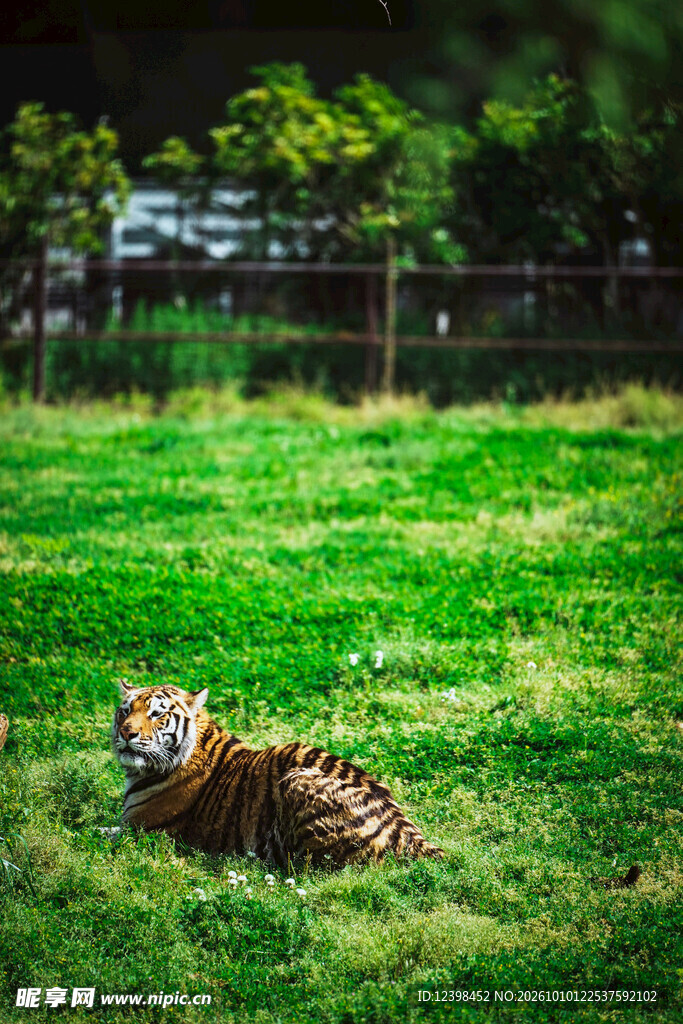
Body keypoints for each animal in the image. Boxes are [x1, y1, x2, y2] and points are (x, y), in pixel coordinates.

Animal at [111, 682, 443, 868]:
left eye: (156, 714)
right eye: (124, 711)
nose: (126, 733)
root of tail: (408, 833)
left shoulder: (138, 829)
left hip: (296, 782)